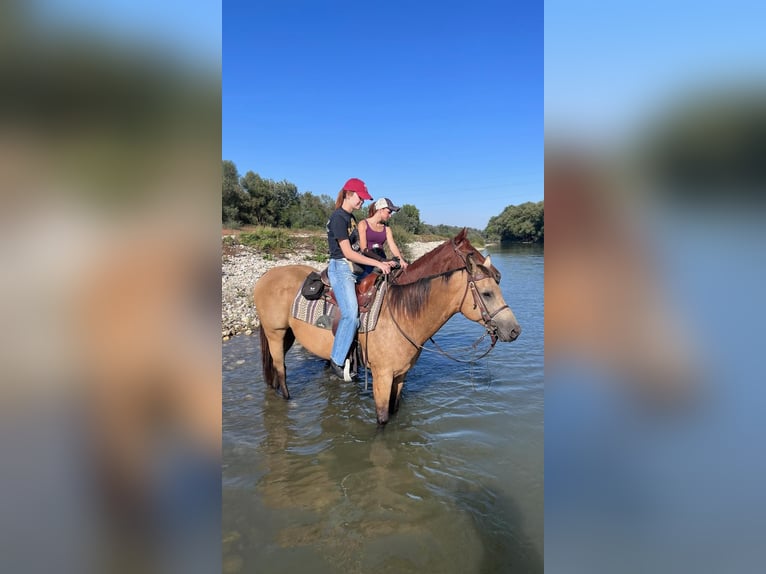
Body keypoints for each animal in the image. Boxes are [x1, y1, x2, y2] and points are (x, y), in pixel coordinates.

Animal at [255, 231, 524, 428]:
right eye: (487, 293)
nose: (514, 331)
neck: (403, 316)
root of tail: (265, 276)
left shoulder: (400, 376)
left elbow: (395, 412)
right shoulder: (382, 377)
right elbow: (383, 419)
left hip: (288, 335)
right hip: (275, 333)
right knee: (281, 371)